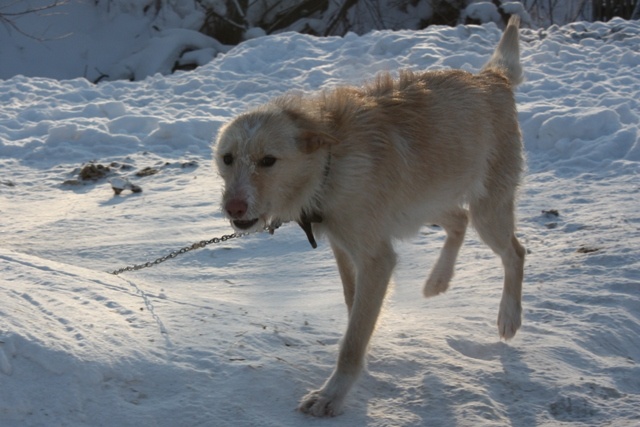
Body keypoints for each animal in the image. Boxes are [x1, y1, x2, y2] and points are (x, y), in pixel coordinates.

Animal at [214, 15, 525, 417]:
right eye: (227, 159)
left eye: (268, 161)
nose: (233, 207)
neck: (329, 166)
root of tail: (492, 79)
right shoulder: (344, 249)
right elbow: (353, 307)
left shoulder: (377, 259)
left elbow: (352, 340)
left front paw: (333, 392)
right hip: (425, 202)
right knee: (459, 220)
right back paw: (437, 280)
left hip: (487, 211)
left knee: (514, 252)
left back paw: (508, 315)